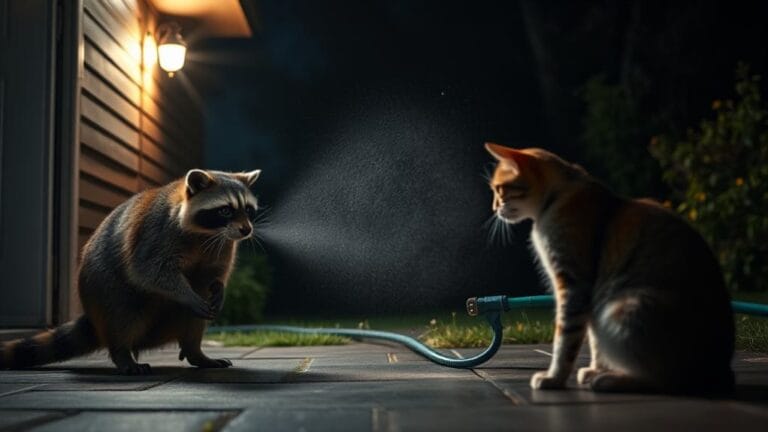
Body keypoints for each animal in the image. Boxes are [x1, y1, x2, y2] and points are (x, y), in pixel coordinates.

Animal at [0, 169, 261, 374]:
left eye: (248, 209)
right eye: (225, 210)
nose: (246, 230)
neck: (206, 233)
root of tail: (93, 318)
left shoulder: (222, 246)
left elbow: (212, 274)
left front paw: (219, 287)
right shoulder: (156, 233)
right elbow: (148, 270)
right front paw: (185, 294)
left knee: (194, 316)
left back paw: (195, 351)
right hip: (105, 289)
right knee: (123, 313)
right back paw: (123, 353)